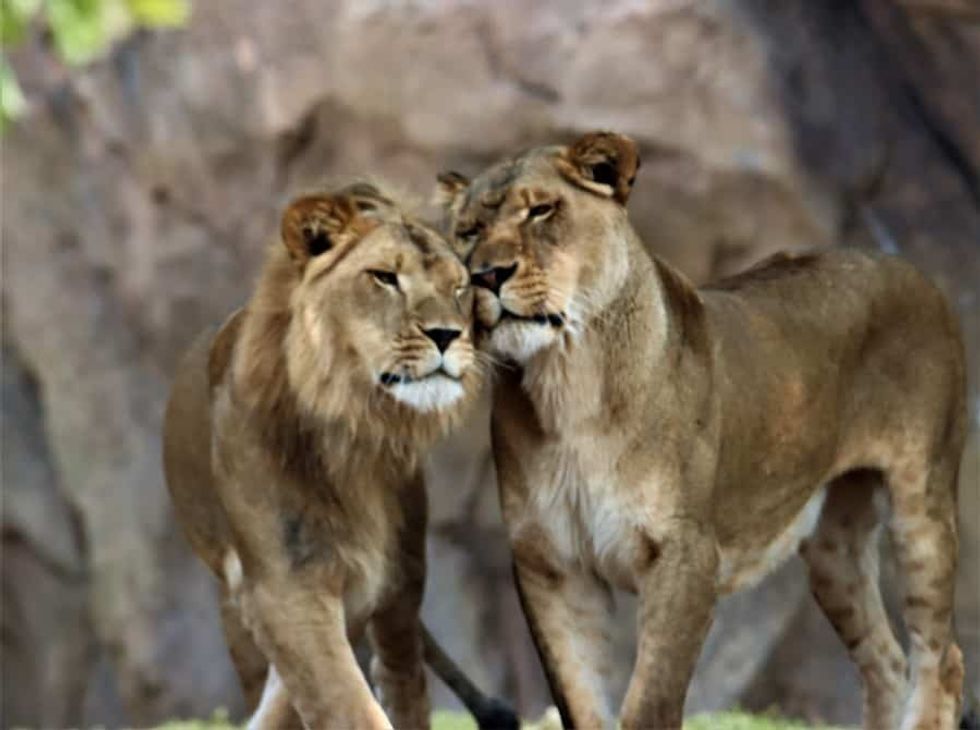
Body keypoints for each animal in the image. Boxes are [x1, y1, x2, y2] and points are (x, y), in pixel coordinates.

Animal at [163, 183, 517, 730]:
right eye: (384, 277)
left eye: (458, 287)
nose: (447, 334)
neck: (354, 429)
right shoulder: (285, 584)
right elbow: (339, 699)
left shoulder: (390, 578)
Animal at [437, 132, 967, 730]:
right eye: (468, 232)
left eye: (541, 210)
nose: (486, 275)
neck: (567, 384)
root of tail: (913, 271)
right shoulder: (550, 563)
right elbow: (581, 704)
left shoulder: (684, 555)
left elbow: (649, 702)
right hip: (835, 547)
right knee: (885, 663)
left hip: (921, 502)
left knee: (940, 659)